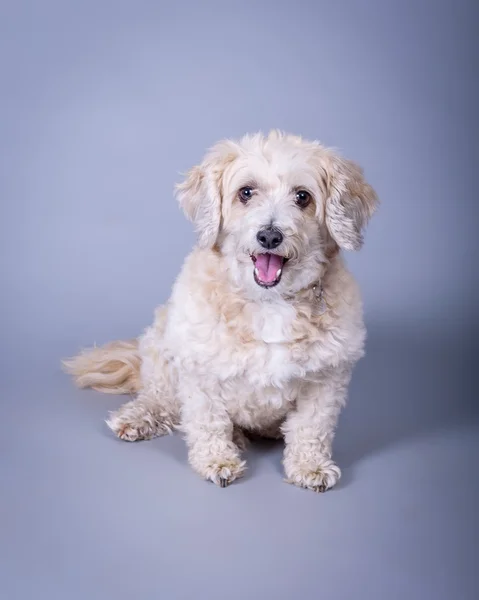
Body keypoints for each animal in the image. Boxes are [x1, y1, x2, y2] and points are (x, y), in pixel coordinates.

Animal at [62, 131, 378, 492]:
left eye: (303, 197)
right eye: (246, 192)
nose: (270, 235)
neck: (269, 302)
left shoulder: (327, 379)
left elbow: (312, 426)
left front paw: (310, 466)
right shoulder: (200, 371)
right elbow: (208, 421)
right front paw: (217, 461)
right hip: (161, 344)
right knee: (160, 399)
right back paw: (141, 417)